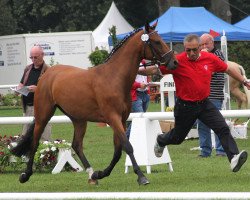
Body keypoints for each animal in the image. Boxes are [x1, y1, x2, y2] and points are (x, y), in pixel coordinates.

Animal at [10, 22, 178, 186]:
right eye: (156, 41)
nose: (174, 62)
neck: (114, 77)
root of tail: (46, 74)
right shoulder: (113, 118)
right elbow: (127, 146)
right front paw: (142, 177)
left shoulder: (122, 119)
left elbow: (118, 151)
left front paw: (101, 173)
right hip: (44, 115)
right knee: (35, 142)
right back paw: (25, 175)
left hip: (78, 119)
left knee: (76, 144)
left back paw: (92, 175)